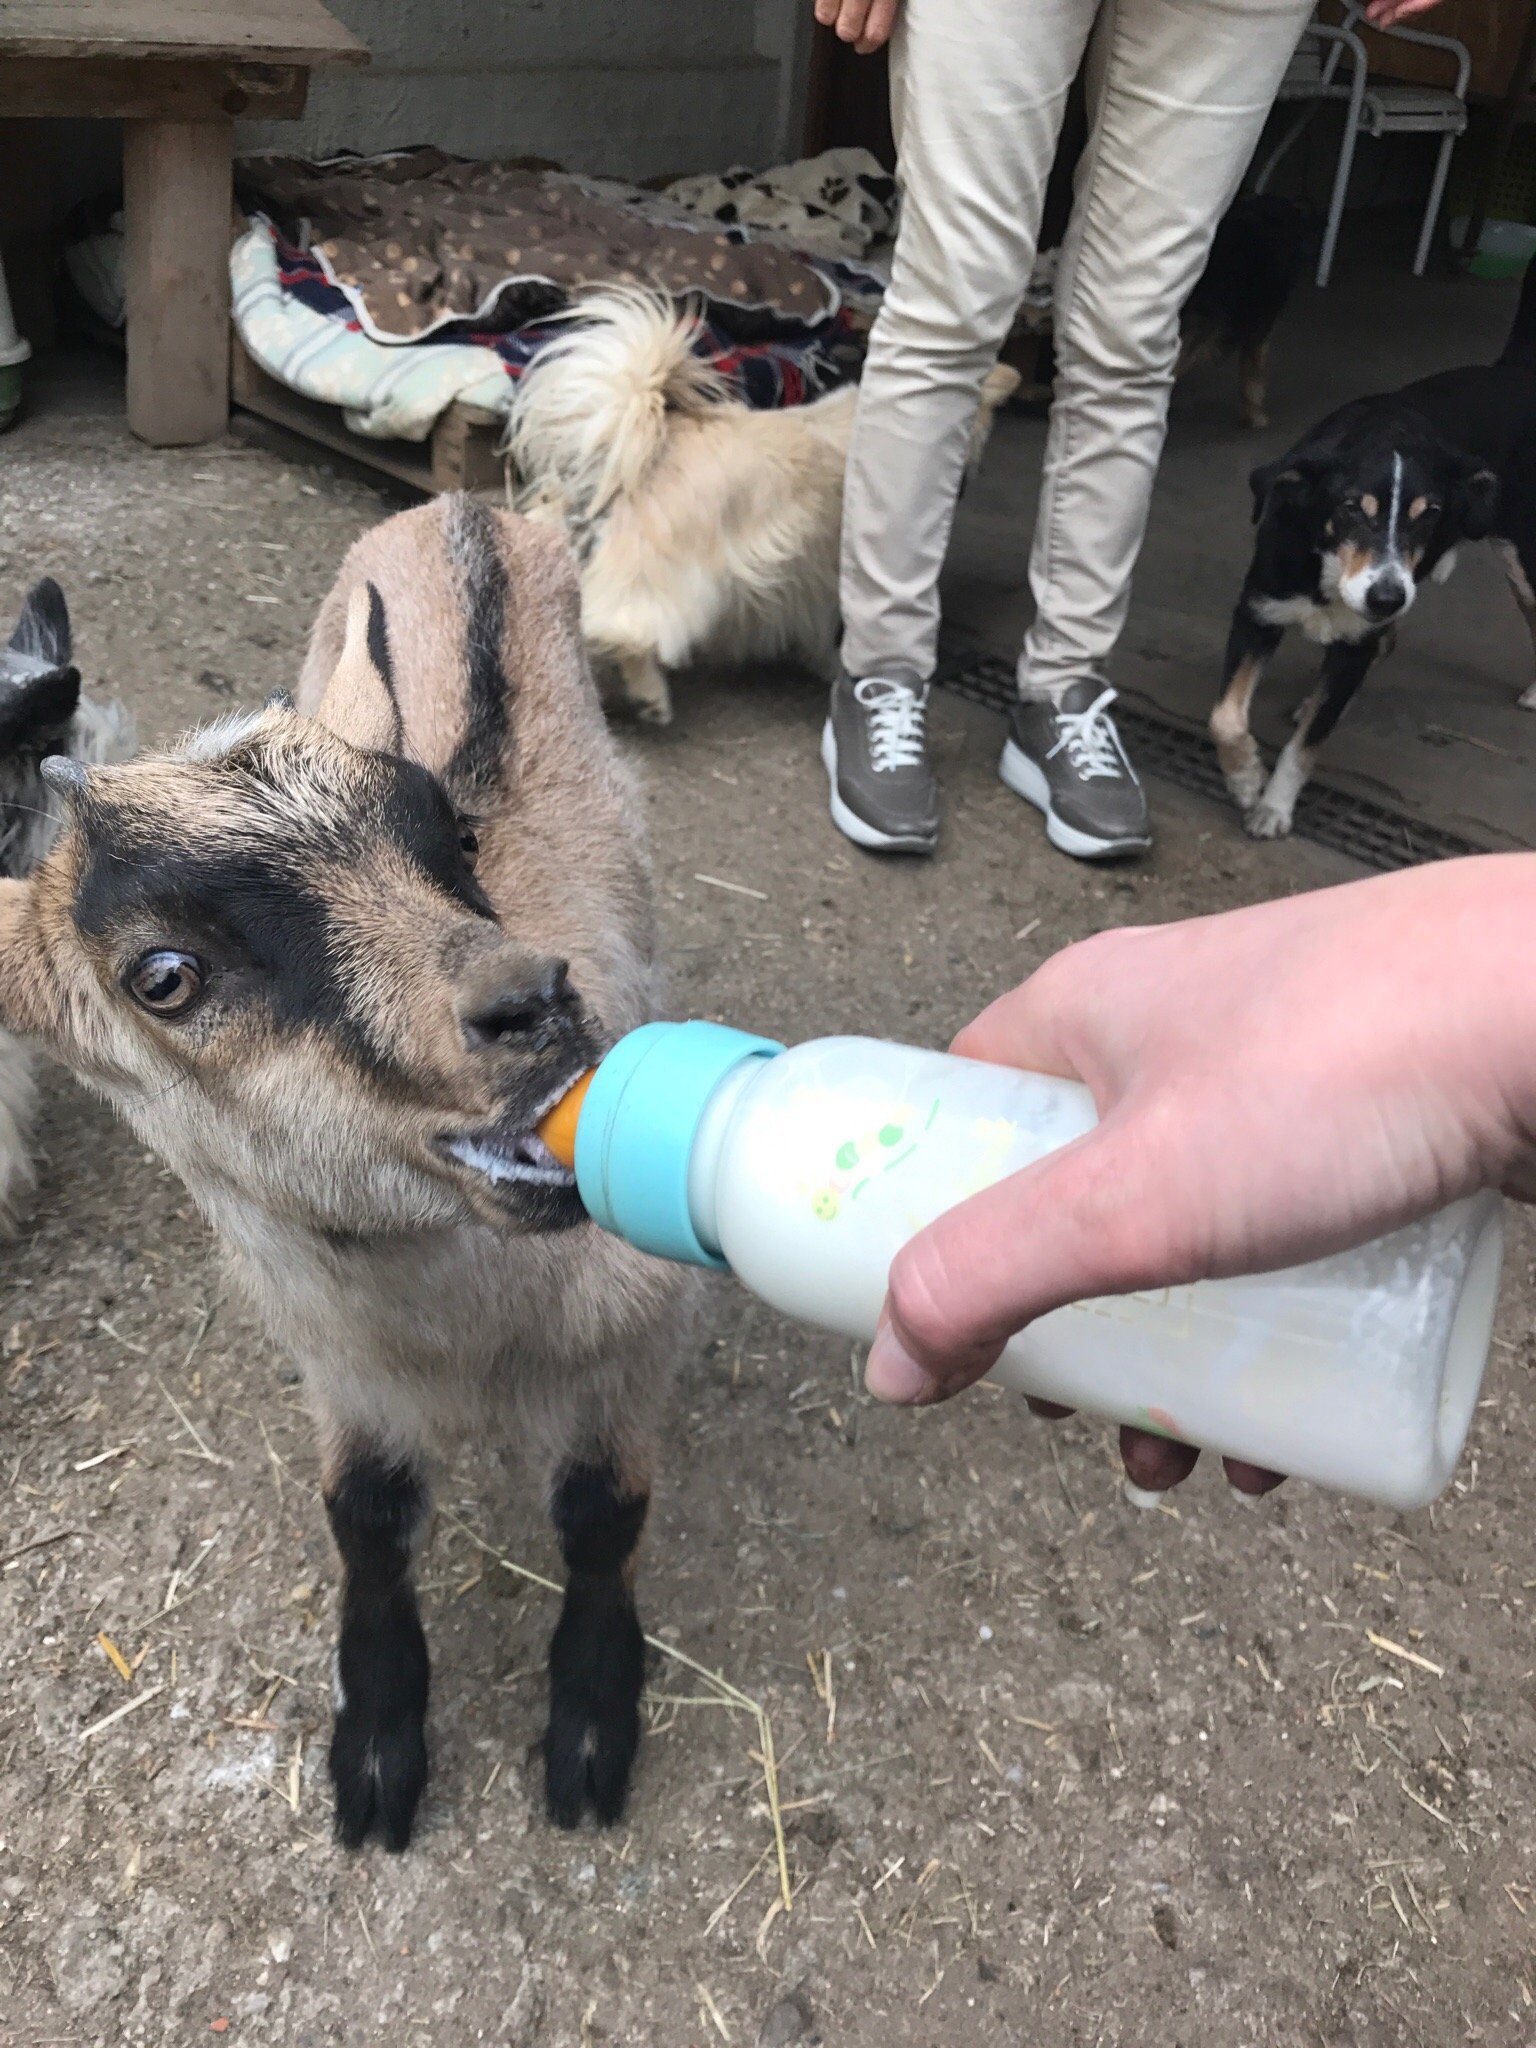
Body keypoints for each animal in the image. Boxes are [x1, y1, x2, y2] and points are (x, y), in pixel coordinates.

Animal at [0, 503, 696, 1851]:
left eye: (454, 838)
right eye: (162, 974)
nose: (533, 1003)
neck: (469, 1330)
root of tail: (463, 508)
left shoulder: (635, 1325)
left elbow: (602, 1514)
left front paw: (590, 1728)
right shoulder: (339, 1365)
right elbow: (364, 1522)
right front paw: (375, 1751)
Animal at [512, 292, 1028, 729]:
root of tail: (655, 433)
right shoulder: (828, 572)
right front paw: (830, 666)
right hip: (666, 572)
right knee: (624, 628)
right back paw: (650, 696)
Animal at [1212, 266, 1536, 839]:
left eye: (1430, 512)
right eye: (1350, 508)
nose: (1386, 598)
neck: (1329, 575)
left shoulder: (1356, 642)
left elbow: (1304, 750)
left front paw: (1274, 806)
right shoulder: (1259, 613)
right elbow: (1226, 717)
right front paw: (1246, 778)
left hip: (1525, 560)